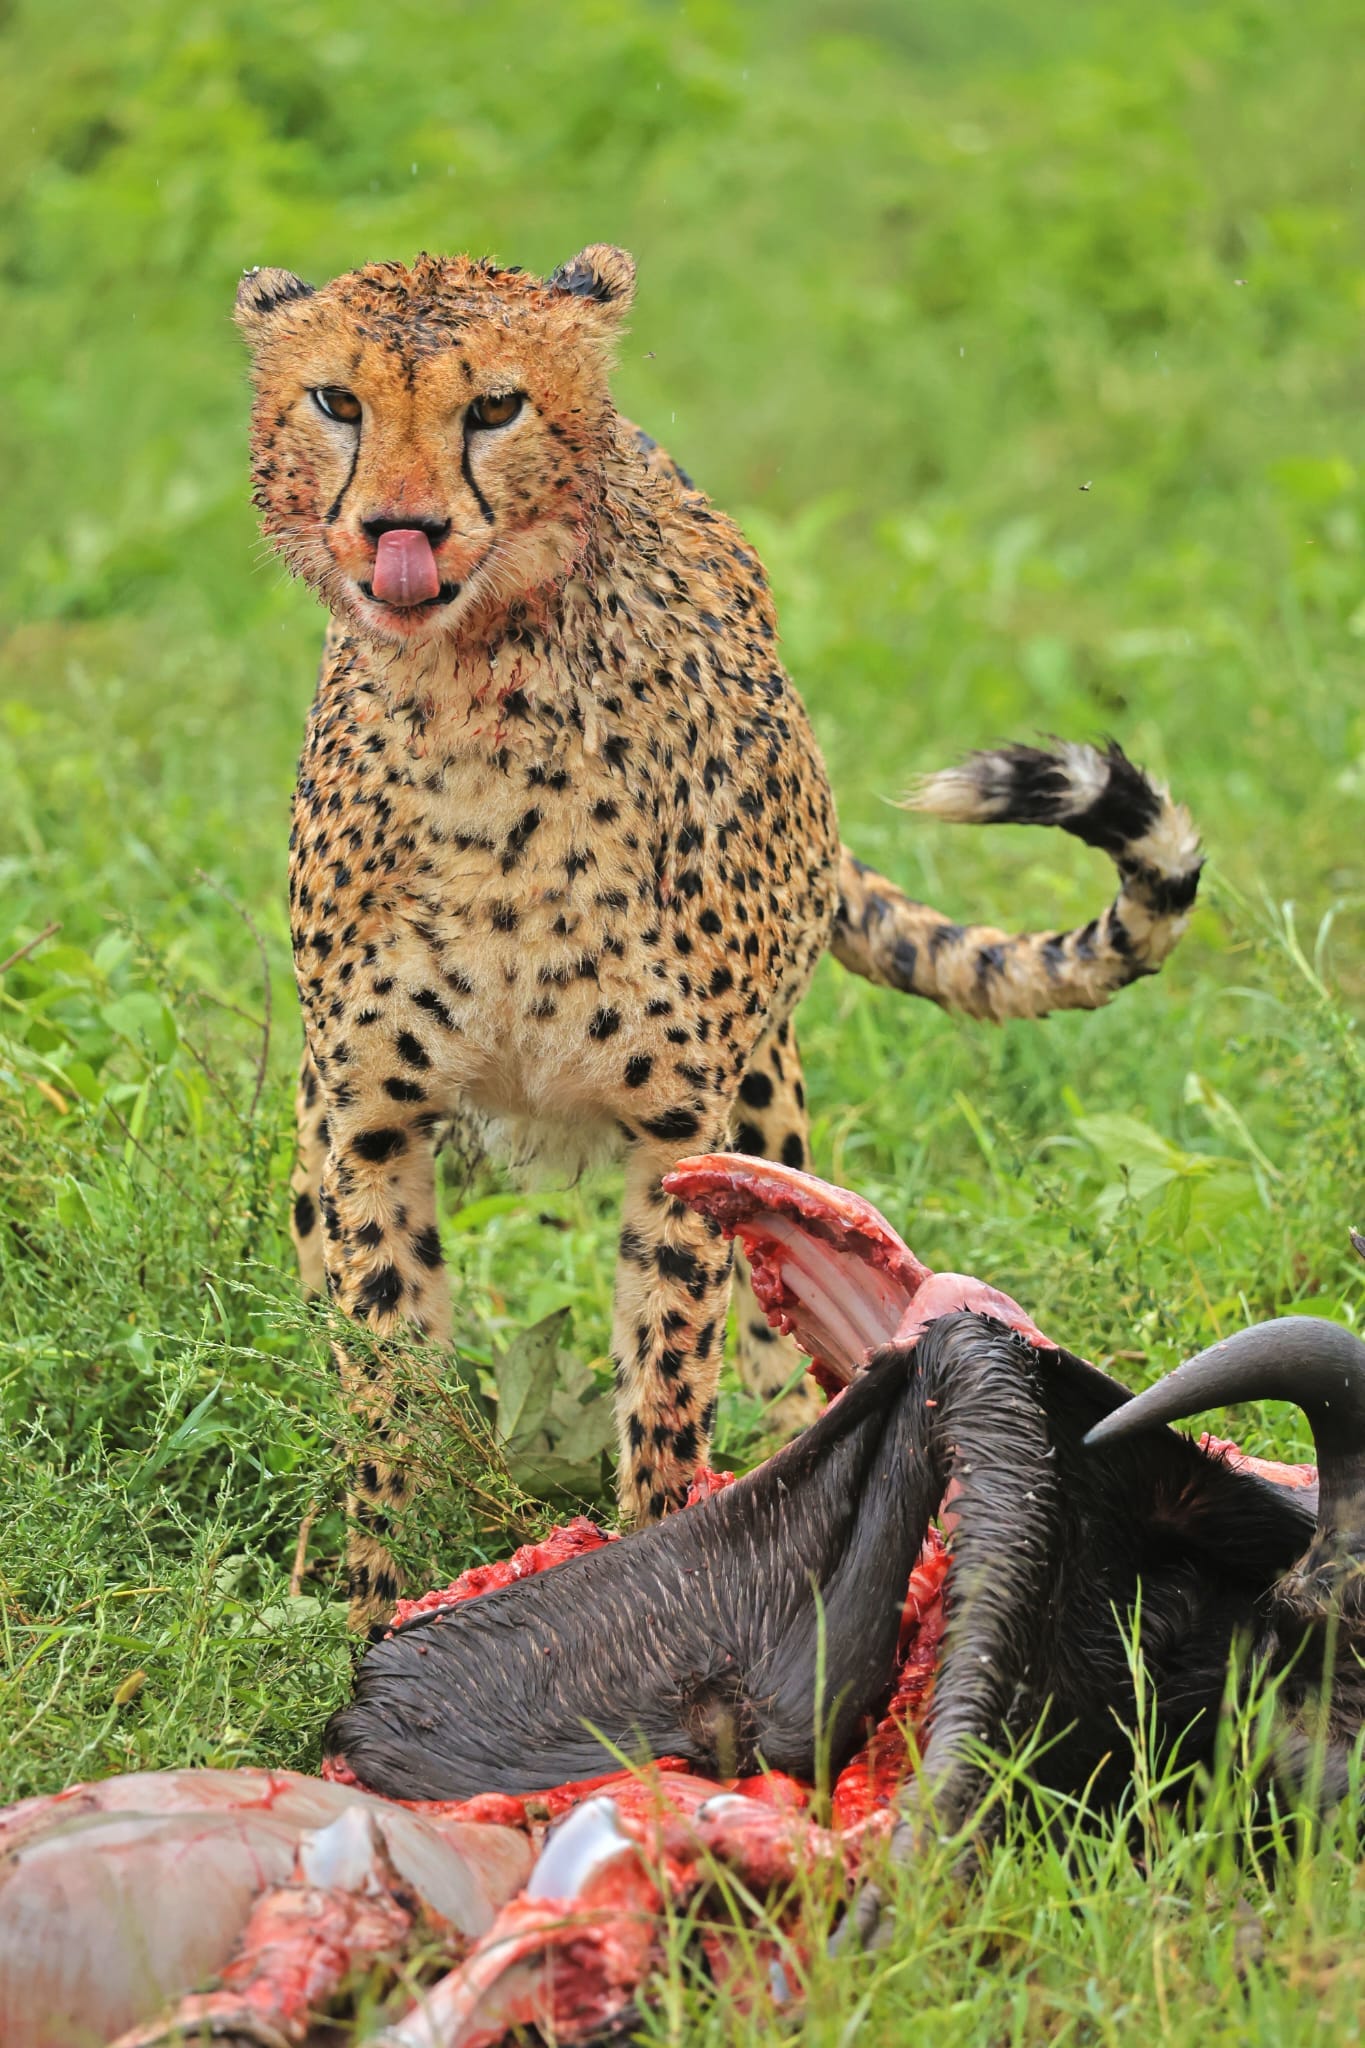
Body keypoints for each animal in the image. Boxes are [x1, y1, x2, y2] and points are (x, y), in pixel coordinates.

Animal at [237, 243, 1203, 1630]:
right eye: (336, 402)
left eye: (496, 407)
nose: (399, 533)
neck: (470, 700)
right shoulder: (364, 1120)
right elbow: (387, 1379)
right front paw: (373, 1597)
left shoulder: (677, 1136)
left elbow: (665, 1377)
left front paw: (654, 1572)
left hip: (766, 1108)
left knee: (773, 1334)